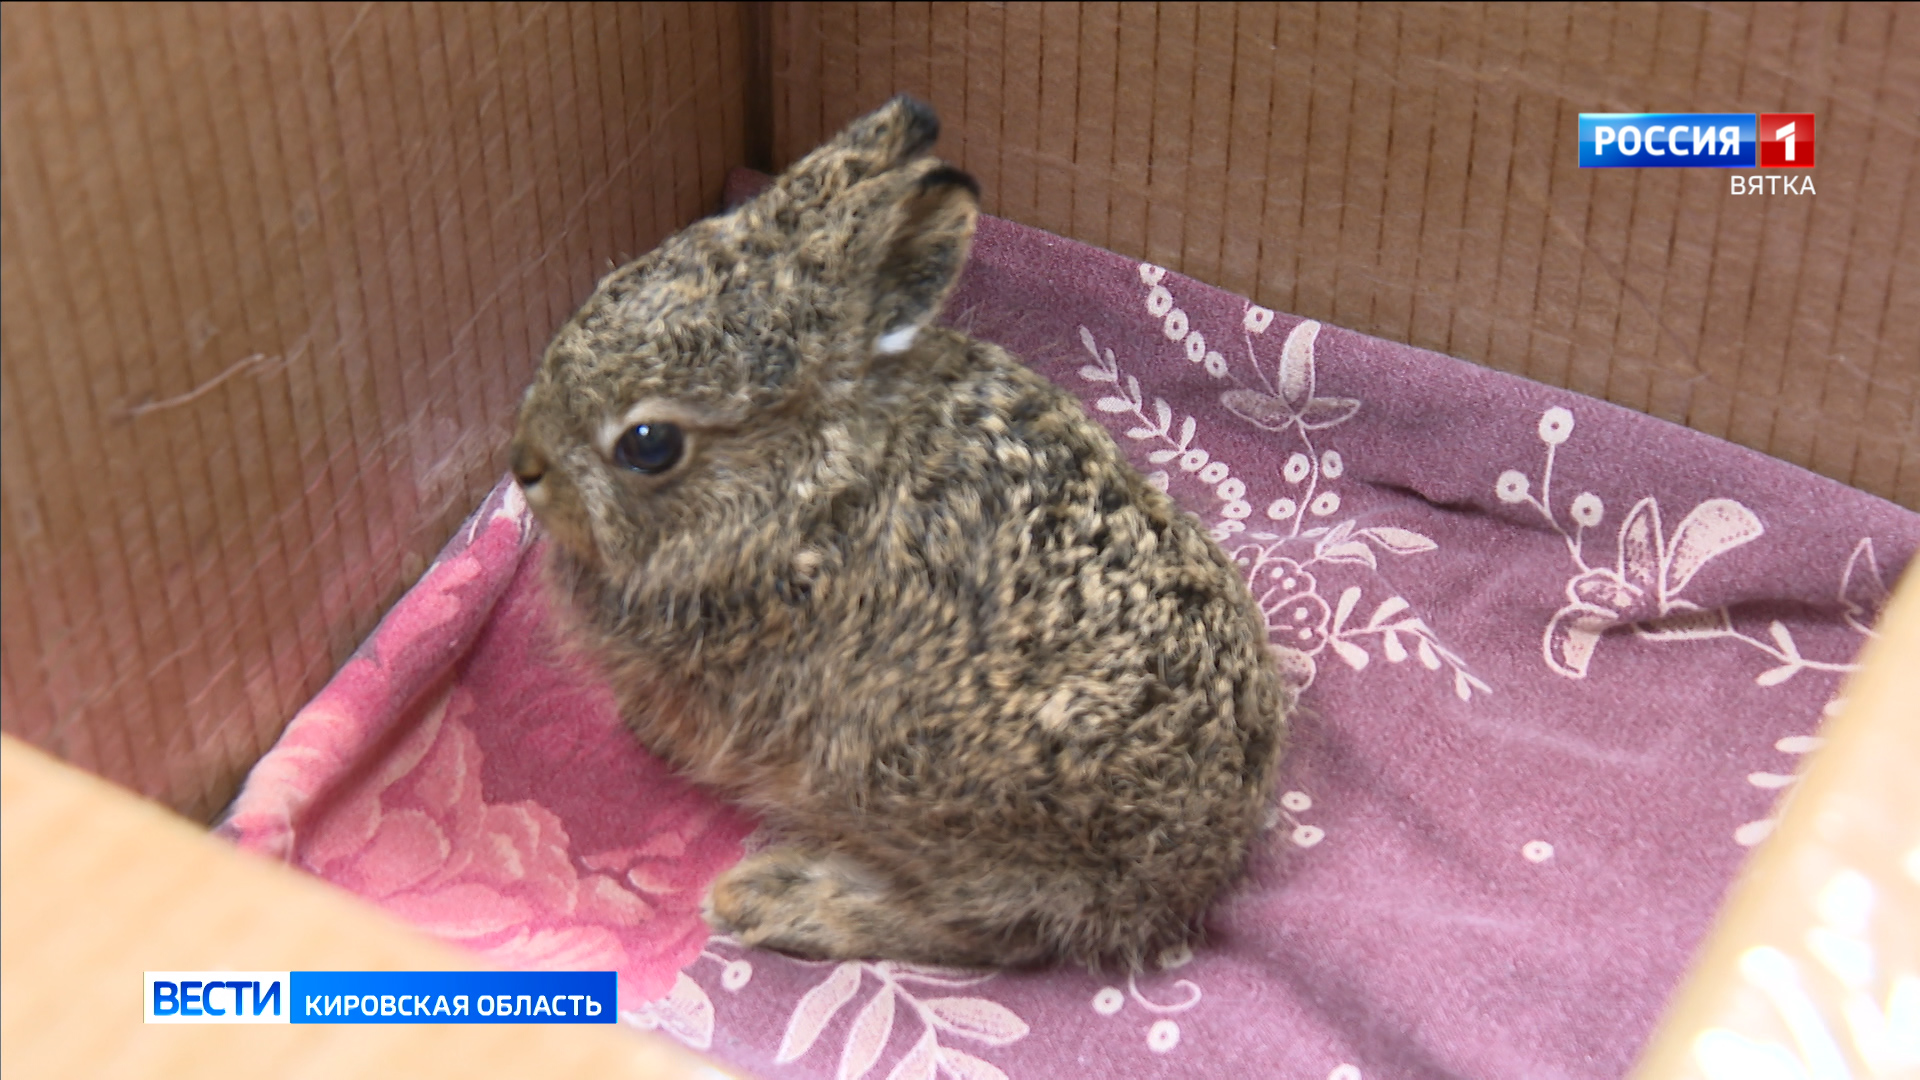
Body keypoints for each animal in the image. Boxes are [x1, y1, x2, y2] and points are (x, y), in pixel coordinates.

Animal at [510, 94, 1290, 968]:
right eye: (610, 281)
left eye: (648, 445)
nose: (523, 461)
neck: (807, 485)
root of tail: (1194, 861)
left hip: (914, 785)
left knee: (982, 925)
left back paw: (777, 898)